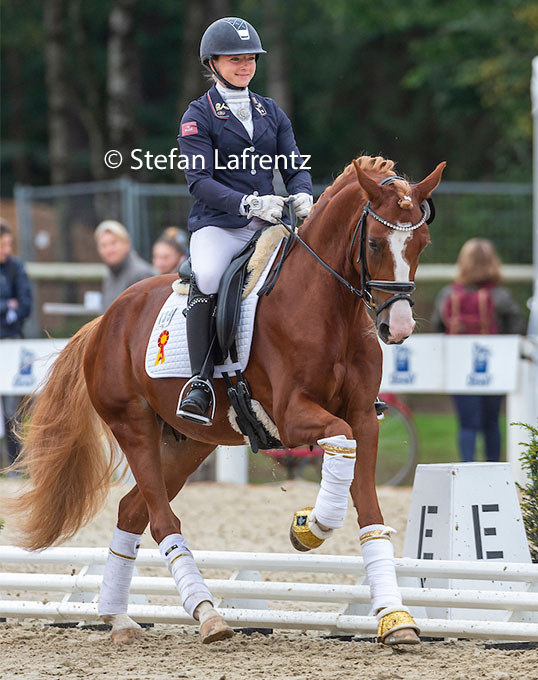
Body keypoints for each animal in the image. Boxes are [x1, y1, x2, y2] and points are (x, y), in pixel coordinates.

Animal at [8, 157, 444, 644]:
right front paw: (310, 527)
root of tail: (104, 320)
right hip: (133, 427)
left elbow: (370, 512)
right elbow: (339, 442)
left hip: (189, 444)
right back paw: (207, 616)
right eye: (373, 241)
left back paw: (119, 617)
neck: (329, 310)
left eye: (421, 243)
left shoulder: (364, 418)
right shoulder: (291, 416)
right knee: (161, 519)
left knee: (132, 511)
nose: (398, 327)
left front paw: (396, 618)